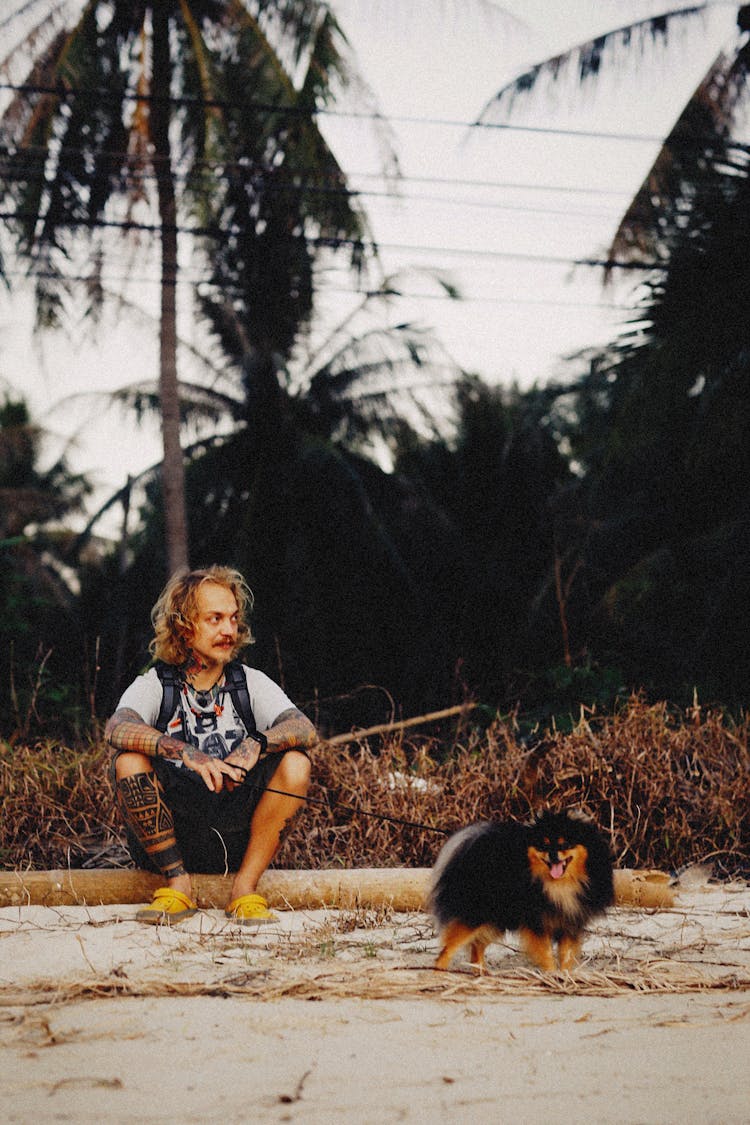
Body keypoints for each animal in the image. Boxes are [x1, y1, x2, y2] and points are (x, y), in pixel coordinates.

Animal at [427, 814, 616, 972]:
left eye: (564, 844)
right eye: (544, 845)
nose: (553, 854)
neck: (559, 886)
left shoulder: (569, 923)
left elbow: (566, 955)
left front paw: (564, 978)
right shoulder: (537, 923)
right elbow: (546, 954)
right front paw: (551, 975)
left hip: (496, 920)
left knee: (477, 946)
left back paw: (482, 975)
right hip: (476, 916)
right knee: (447, 950)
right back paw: (440, 974)